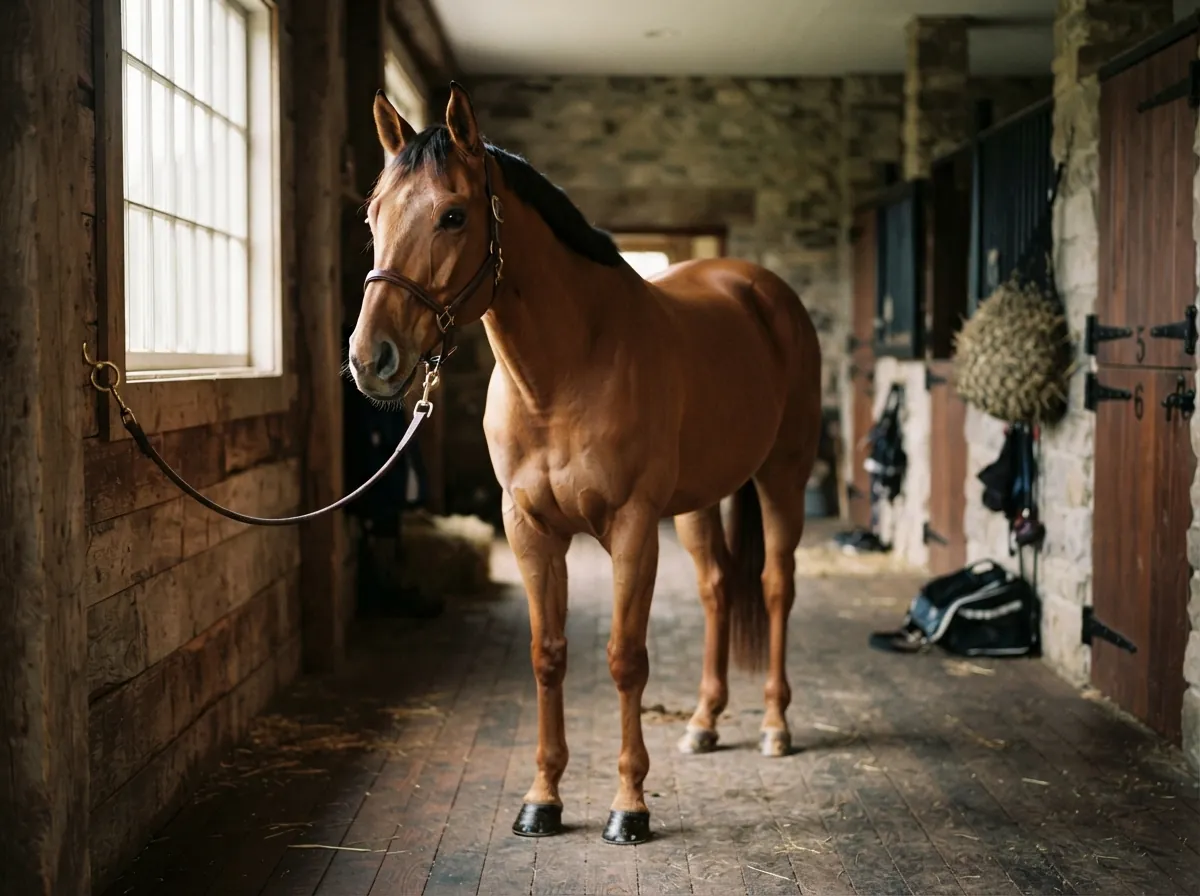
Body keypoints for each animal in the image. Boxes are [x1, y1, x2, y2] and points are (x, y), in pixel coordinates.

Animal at [348, 83, 822, 845]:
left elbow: (625, 659)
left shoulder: (631, 528)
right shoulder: (530, 530)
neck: (566, 373)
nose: (372, 359)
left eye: (453, 214)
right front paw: (541, 799)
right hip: (698, 502)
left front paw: (629, 806)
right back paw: (704, 722)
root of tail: (760, 289)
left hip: (783, 476)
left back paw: (775, 726)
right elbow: (548, 655)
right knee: (719, 587)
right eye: (373, 215)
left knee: (776, 585)